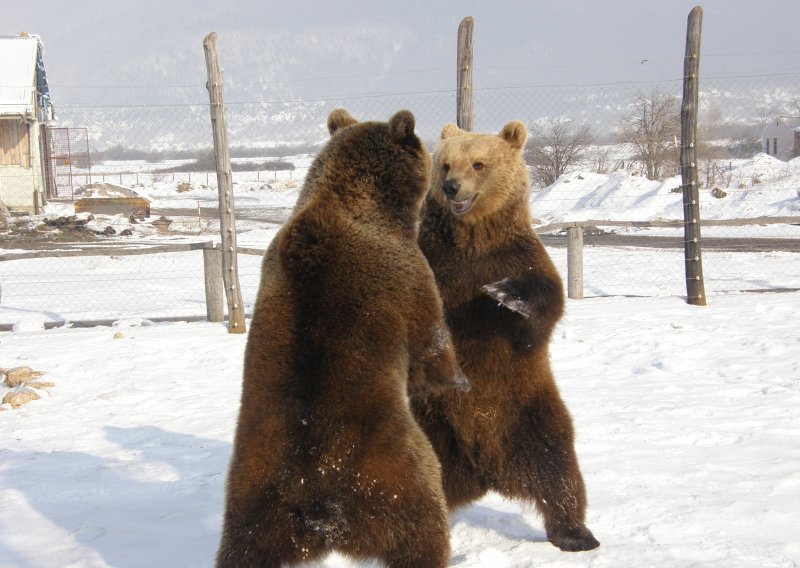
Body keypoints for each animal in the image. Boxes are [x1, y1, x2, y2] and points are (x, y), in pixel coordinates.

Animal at [217, 111, 468, 568]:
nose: (445, 186)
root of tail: (320, 508)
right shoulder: (406, 273)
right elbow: (431, 338)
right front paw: (457, 378)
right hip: (400, 475)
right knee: (425, 527)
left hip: (253, 502)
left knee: (240, 550)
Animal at [412, 120, 600, 552]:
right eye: (445, 164)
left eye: (479, 164)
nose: (451, 187)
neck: (472, 240)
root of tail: (485, 471)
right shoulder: (435, 263)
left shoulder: (515, 257)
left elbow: (544, 303)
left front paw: (504, 293)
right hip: (432, 422)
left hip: (529, 411)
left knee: (558, 467)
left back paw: (576, 534)